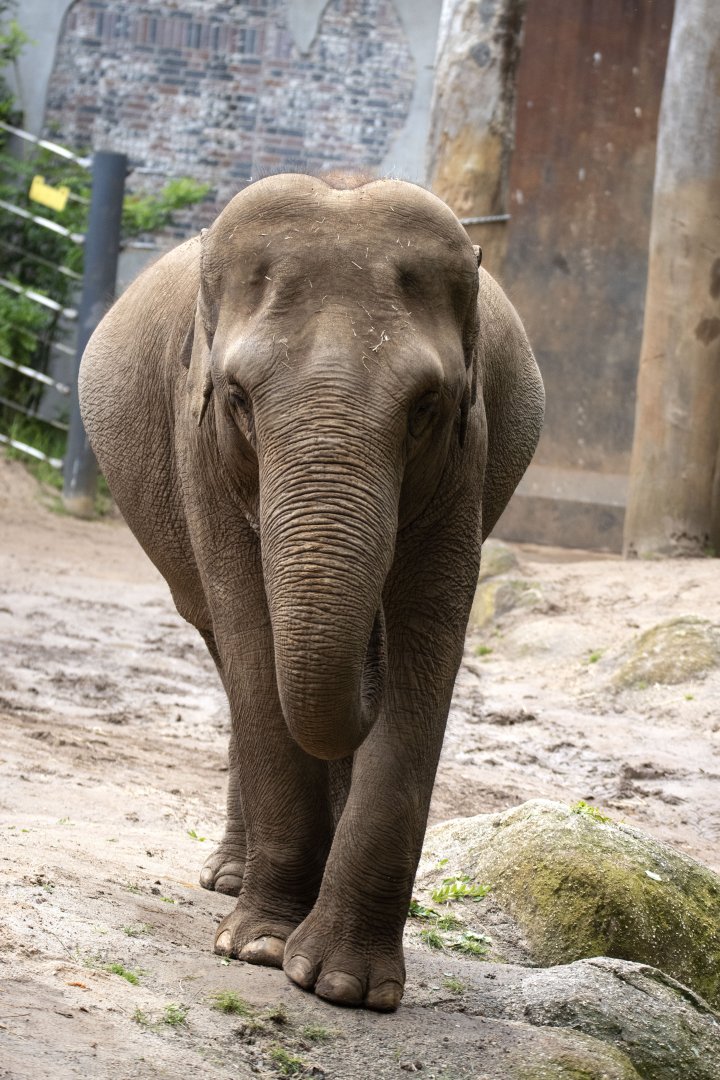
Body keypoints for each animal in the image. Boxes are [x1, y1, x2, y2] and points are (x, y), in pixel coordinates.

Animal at [79, 172, 543, 1011]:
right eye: (236, 397)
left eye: (426, 407)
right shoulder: (197, 445)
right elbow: (249, 628)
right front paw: (260, 948)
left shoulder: (470, 450)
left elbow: (429, 633)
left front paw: (345, 987)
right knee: (223, 647)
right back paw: (231, 880)